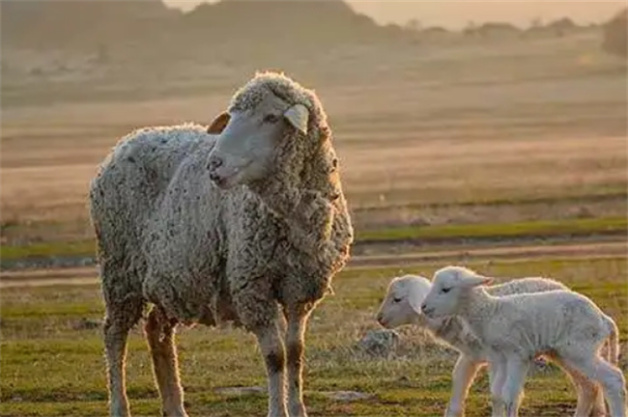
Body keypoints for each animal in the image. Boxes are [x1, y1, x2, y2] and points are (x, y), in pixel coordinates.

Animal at [88, 71, 354, 416]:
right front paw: (276, 410)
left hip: (172, 278)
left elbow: (295, 352)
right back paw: (120, 406)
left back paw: (175, 406)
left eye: (271, 117)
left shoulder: (301, 289)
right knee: (114, 335)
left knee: (157, 330)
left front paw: (298, 410)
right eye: (233, 117)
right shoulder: (252, 285)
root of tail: (125, 142)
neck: (292, 218)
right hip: (119, 270)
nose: (214, 164)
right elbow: (275, 356)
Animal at [378, 272, 608, 416]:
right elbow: (459, 385)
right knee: (590, 385)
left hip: (570, 351)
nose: (379, 319)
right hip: (559, 352)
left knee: (590, 386)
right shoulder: (470, 356)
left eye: (397, 299)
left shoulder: (494, 355)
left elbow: (499, 395)